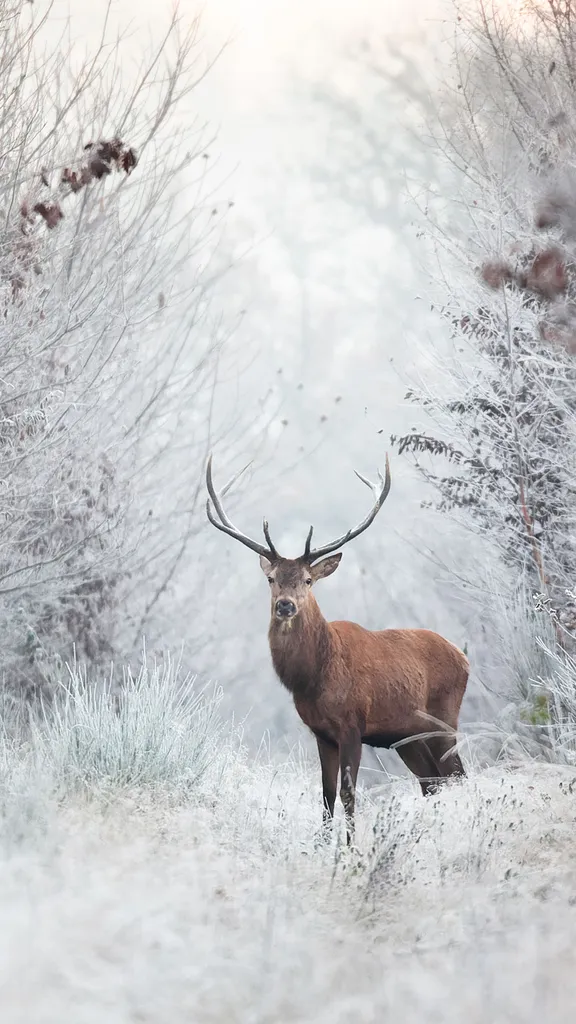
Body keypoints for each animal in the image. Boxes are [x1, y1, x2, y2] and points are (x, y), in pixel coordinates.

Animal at [206, 454, 469, 845]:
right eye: (271, 579)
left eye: (308, 580)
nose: (285, 605)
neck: (315, 678)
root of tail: (465, 657)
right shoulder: (321, 733)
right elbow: (327, 793)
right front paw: (321, 845)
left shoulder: (352, 725)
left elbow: (348, 792)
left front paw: (349, 848)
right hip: (407, 736)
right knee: (432, 782)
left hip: (444, 719)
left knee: (457, 776)